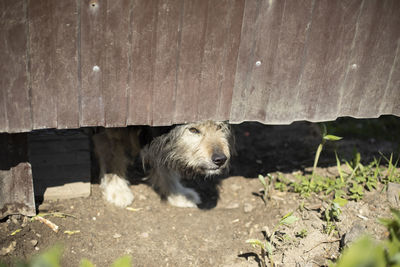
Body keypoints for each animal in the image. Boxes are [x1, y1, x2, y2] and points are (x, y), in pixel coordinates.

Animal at [92, 121, 233, 209]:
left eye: (219, 127)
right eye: (193, 130)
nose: (221, 159)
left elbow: (165, 166)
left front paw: (177, 193)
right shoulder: (112, 129)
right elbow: (112, 159)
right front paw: (117, 189)